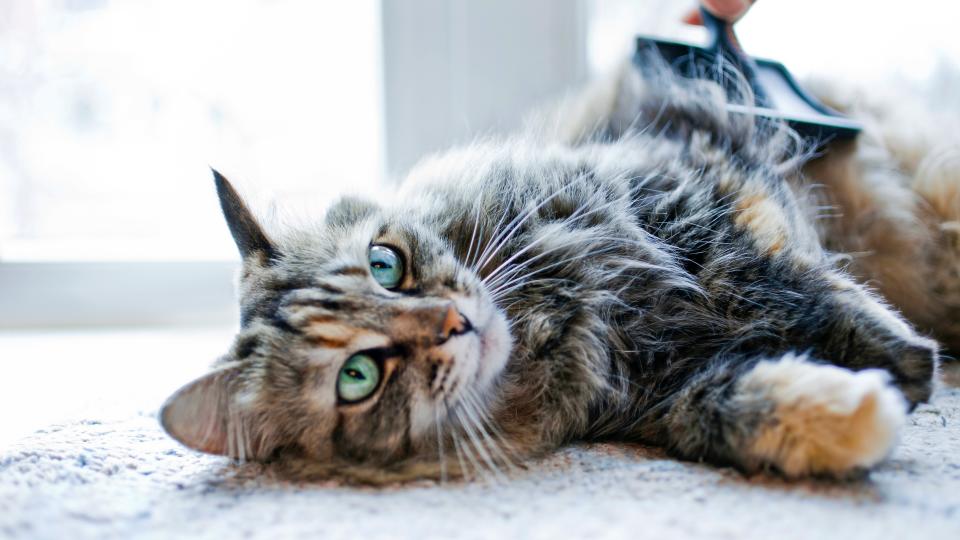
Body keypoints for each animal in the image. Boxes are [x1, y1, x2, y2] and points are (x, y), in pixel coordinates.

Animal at [158, 57, 952, 484]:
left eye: (385, 265)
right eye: (358, 377)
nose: (455, 321)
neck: (563, 321)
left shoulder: (693, 188)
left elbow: (790, 287)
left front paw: (907, 361)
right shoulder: (660, 393)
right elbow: (728, 409)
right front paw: (868, 407)